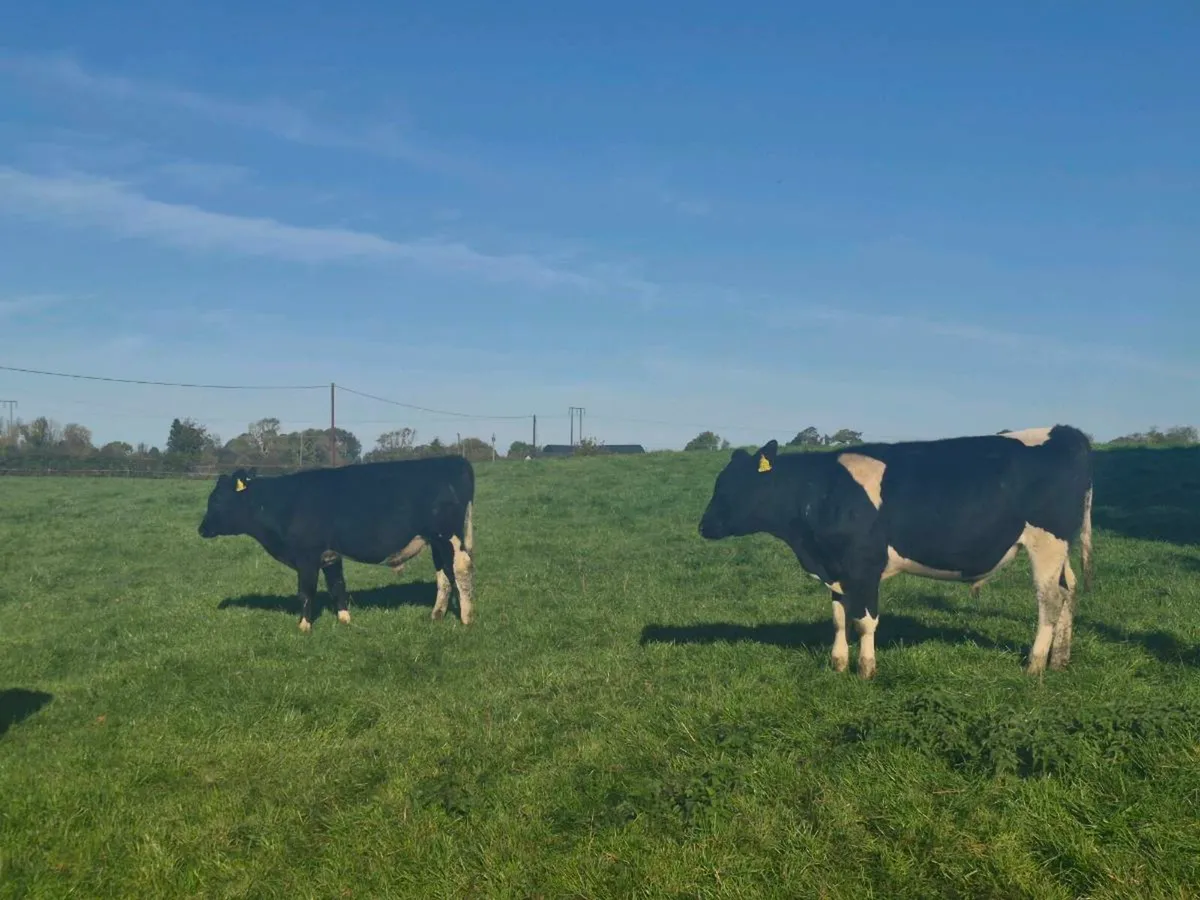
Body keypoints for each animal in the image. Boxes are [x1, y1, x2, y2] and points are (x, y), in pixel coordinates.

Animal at [198, 455, 477, 632]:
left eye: (217, 499)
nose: (201, 529)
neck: (281, 502)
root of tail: (454, 459)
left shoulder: (307, 556)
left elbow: (306, 591)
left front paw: (304, 626)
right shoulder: (331, 555)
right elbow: (337, 586)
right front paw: (344, 620)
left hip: (448, 536)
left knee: (460, 568)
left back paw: (466, 618)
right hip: (435, 540)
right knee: (444, 574)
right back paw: (436, 615)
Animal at [697, 425, 1094, 680]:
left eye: (735, 484)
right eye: (718, 482)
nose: (703, 526)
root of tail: (1065, 431)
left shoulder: (864, 564)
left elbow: (865, 620)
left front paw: (865, 669)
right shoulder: (836, 567)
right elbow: (839, 618)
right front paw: (838, 663)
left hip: (1047, 542)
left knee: (1049, 599)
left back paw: (1034, 664)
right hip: (1061, 549)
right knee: (1069, 590)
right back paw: (1060, 659)